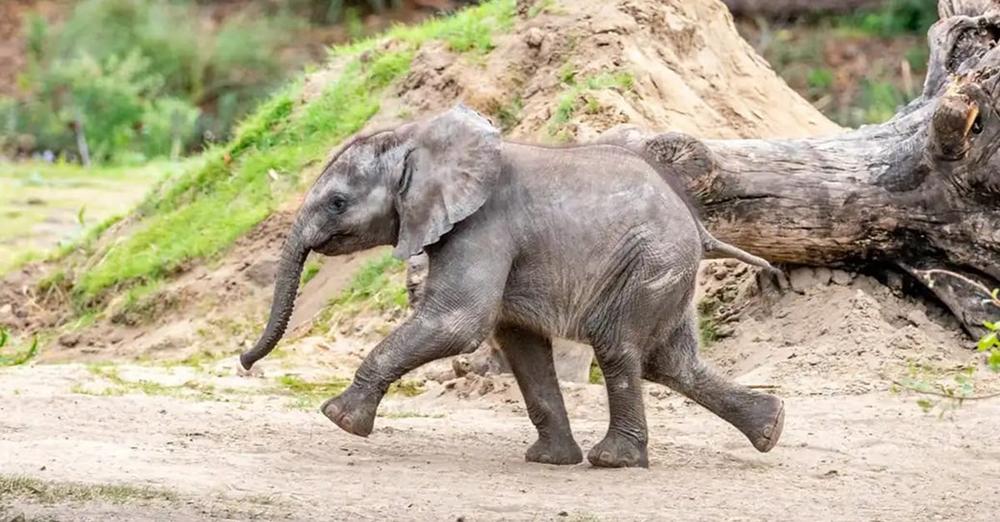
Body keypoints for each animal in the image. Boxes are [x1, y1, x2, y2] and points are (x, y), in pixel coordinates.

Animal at [238, 103, 784, 466]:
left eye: (336, 203)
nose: (244, 361)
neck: (419, 138)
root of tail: (700, 228)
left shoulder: (482, 226)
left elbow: (458, 323)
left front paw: (337, 417)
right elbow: (518, 341)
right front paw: (549, 460)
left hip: (649, 262)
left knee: (618, 349)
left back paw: (614, 460)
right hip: (663, 271)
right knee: (670, 363)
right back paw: (771, 427)